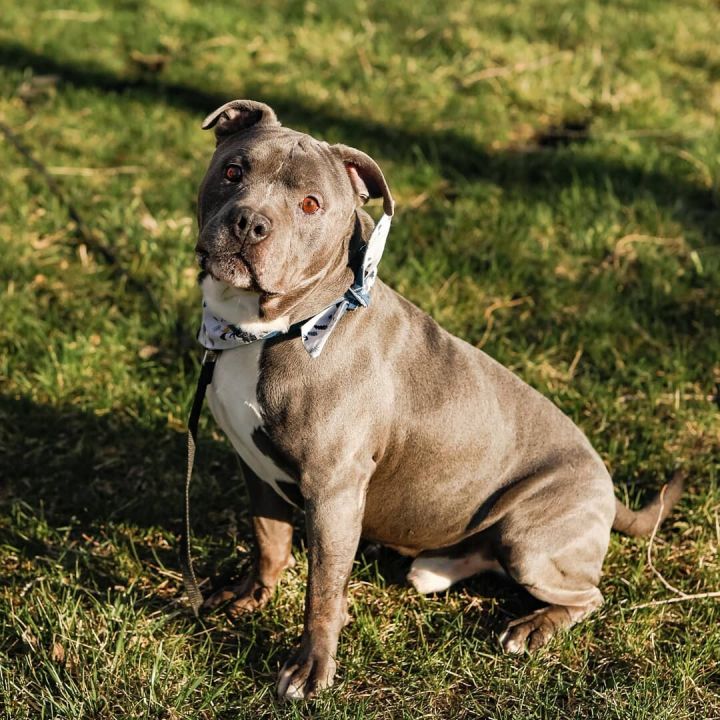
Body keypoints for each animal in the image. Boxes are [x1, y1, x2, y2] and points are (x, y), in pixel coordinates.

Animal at [192, 99, 683, 700]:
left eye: (310, 204)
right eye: (234, 170)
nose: (249, 222)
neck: (272, 328)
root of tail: (609, 490)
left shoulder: (332, 492)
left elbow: (322, 591)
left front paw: (311, 670)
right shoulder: (257, 467)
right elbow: (269, 542)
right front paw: (248, 597)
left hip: (530, 536)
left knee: (586, 595)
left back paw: (529, 629)